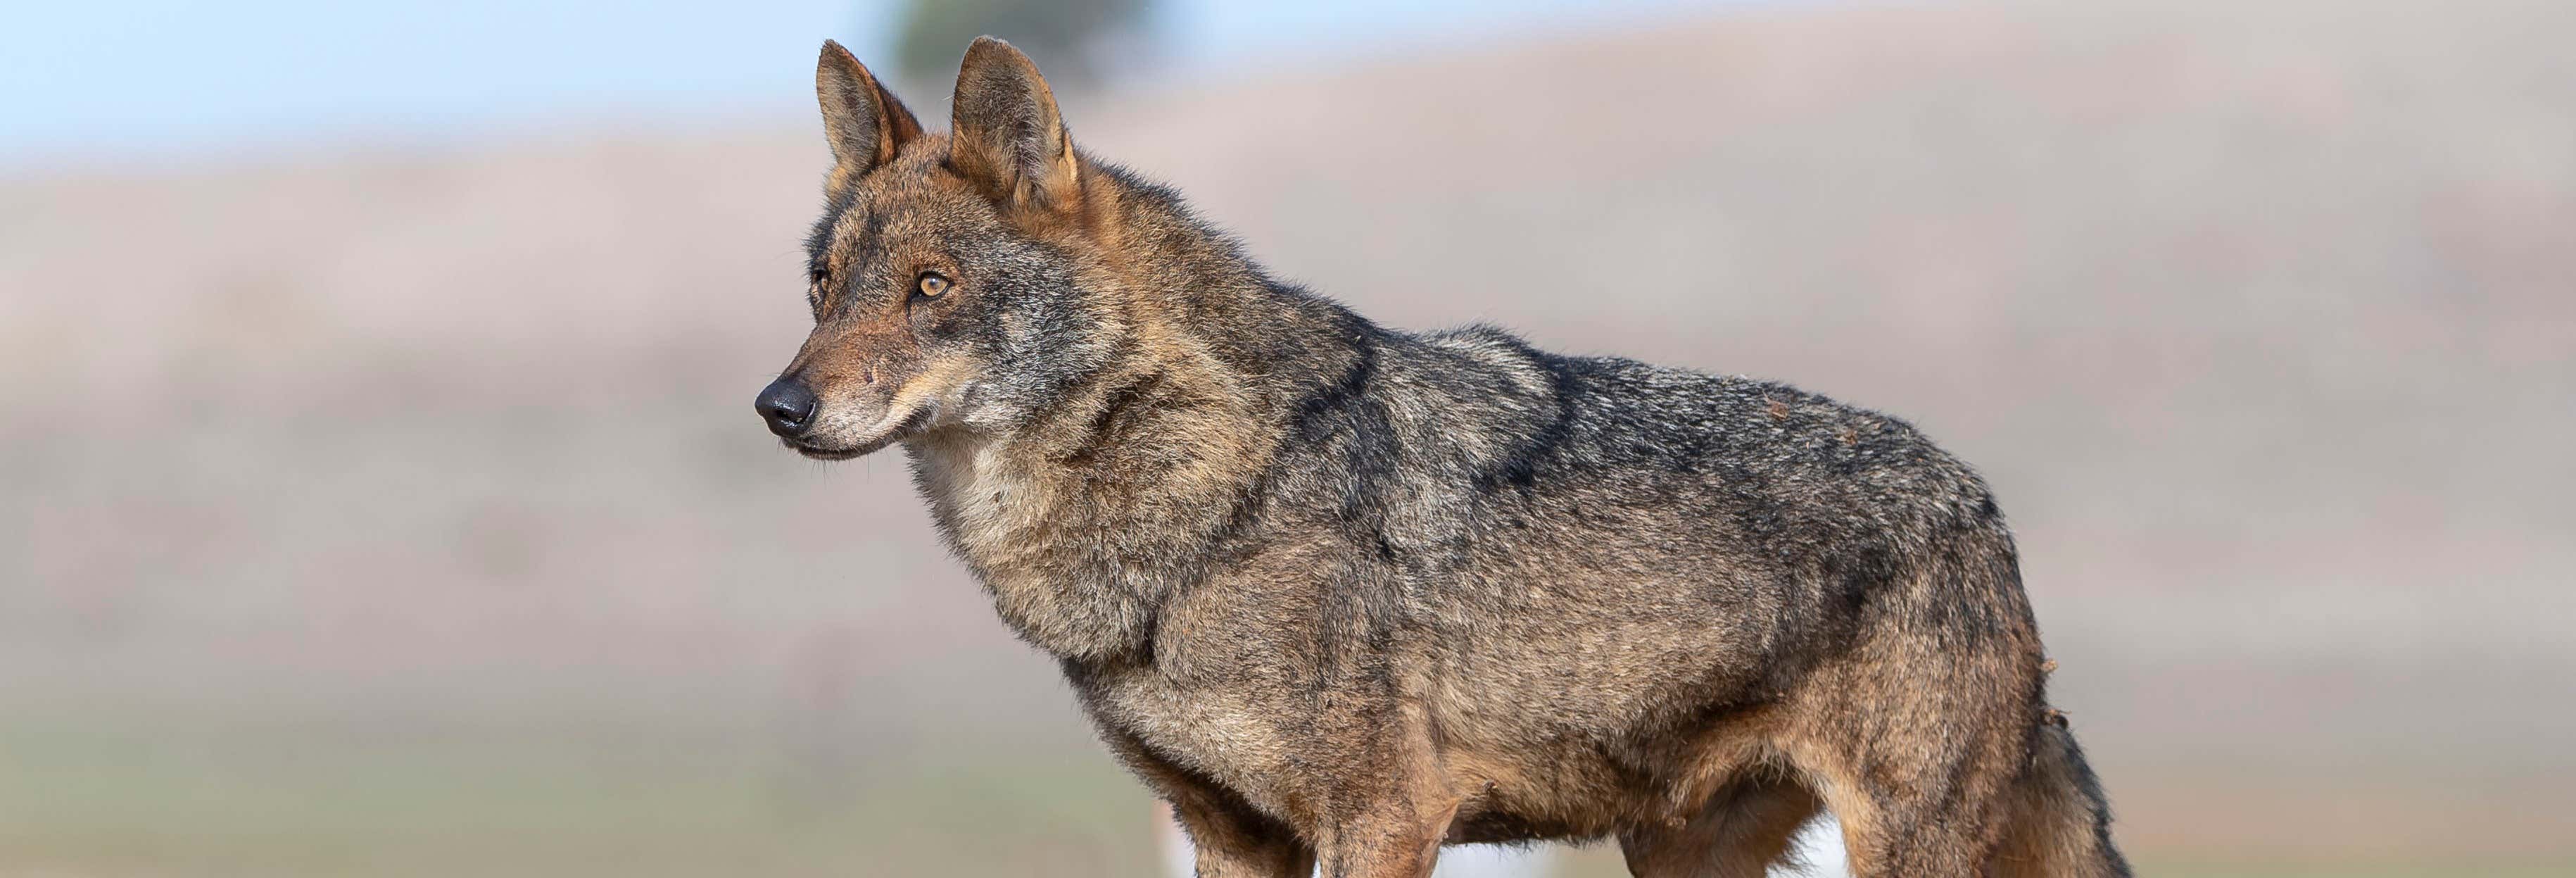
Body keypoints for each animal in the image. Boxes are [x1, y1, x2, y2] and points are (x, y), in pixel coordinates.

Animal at [757, 37, 2133, 870]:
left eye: (931, 288)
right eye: (824, 288)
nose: (778, 404)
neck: (1213, 489)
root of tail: (1980, 499)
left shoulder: (1383, 815)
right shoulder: (1226, 829)